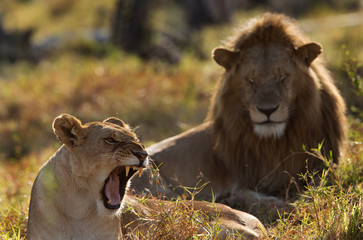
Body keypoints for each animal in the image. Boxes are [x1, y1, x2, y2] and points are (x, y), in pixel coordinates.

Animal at [132, 12, 348, 216]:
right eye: (251, 80)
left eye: (282, 78)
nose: (267, 110)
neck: (273, 145)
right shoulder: (240, 180)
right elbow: (262, 196)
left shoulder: (324, 167)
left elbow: (320, 185)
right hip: (151, 177)